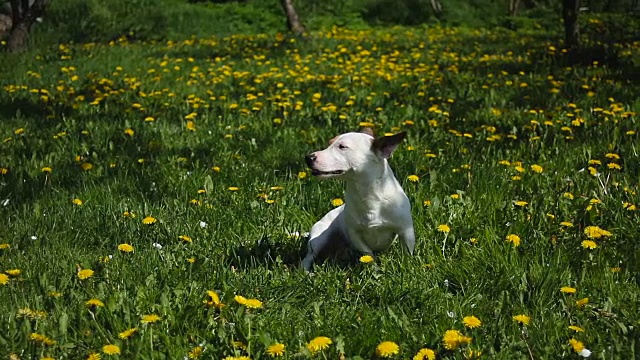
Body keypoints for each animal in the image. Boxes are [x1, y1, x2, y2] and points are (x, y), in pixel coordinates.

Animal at [302, 128, 416, 272]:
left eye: (342, 147)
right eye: (330, 143)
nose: (308, 158)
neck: (368, 194)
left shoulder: (406, 231)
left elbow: (407, 252)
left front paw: (407, 267)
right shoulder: (355, 234)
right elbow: (368, 253)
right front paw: (374, 269)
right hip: (319, 239)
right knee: (308, 258)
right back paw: (306, 272)